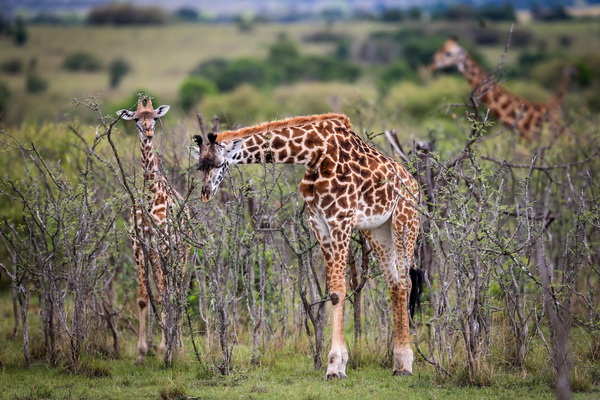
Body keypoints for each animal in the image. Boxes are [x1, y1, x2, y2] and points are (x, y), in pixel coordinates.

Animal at [117, 97, 190, 366]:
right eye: (137, 118)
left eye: (155, 118)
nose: (148, 133)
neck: (150, 194)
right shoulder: (139, 243)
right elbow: (142, 297)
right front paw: (141, 352)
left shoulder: (162, 243)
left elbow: (162, 296)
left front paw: (162, 347)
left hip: (181, 254)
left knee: (176, 291)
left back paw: (178, 347)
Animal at [192, 112, 422, 378]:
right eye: (200, 166)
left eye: (219, 164)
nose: (205, 193)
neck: (314, 153)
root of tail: (414, 184)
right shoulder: (318, 222)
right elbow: (332, 292)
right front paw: (337, 363)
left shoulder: (340, 219)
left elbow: (339, 290)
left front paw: (335, 366)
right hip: (378, 230)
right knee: (395, 284)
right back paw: (399, 364)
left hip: (405, 222)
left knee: (405, 282)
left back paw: (406, 362)